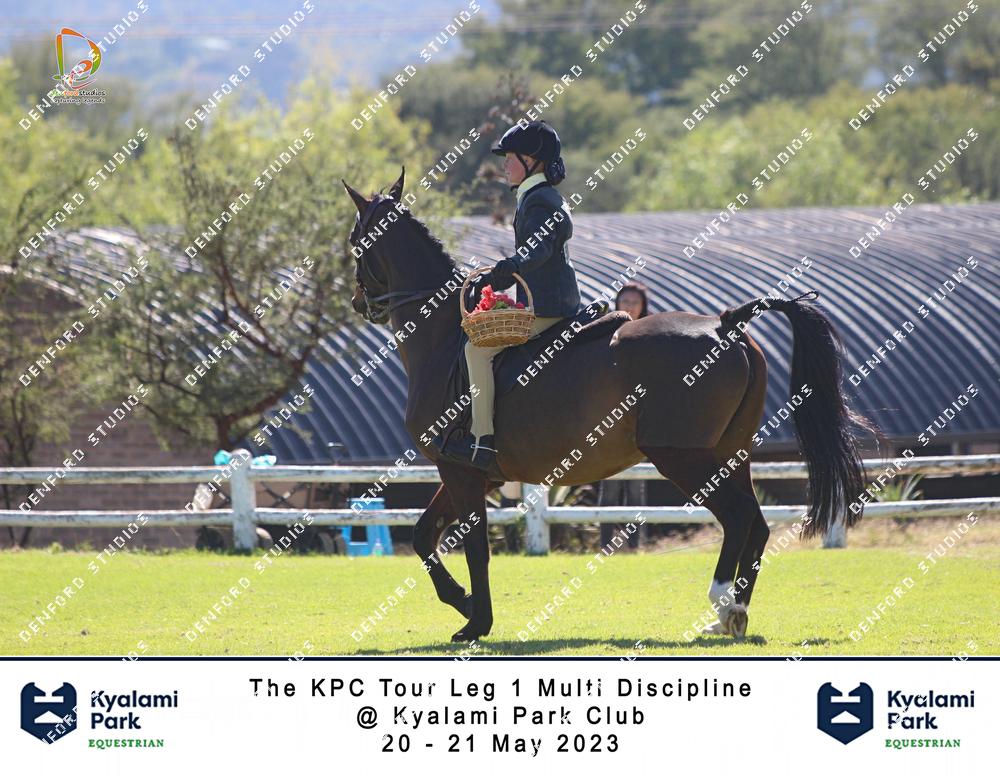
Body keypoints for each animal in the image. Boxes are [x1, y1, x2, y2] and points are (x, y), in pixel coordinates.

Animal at [342, 168, 879, 643]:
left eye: (356, 241)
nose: (358, 304)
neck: (442, 340)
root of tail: (727, 322)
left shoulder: (461, 470)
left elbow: (471, 547)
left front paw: (476, 621)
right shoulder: (476, 475)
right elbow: (422, 534)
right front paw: (466, 604)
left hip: (682, 457)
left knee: (738, 516)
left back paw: (722, 604)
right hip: (732, 453)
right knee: (757, 522)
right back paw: (732, 614)